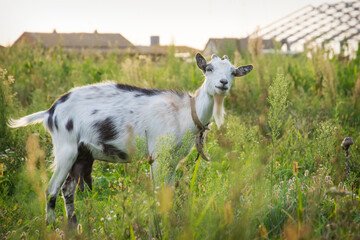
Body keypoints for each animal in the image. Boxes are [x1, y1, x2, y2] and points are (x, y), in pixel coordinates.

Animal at [9, 53, 255, 227]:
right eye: (208, 68)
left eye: (233, 72)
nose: (222, 83)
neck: (184, 112)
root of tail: (50, 111)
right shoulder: (158, 155)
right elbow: (158, 194)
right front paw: (158, 226)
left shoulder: (172, 159)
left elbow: (169, 194)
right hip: (65, 150)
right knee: (50, 190)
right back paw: (50, 227)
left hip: (81, 155)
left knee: (67, 191)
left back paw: (74, 227)